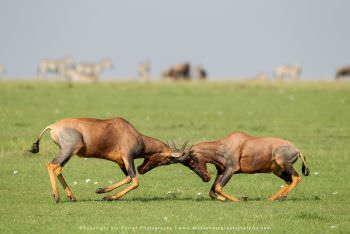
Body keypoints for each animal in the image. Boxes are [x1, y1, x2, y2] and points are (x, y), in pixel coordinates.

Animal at [29, 117, 186, 203]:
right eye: (166, 160)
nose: (142, 169)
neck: (129, 131)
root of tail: (53, 126)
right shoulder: (128, 157)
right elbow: (134, 181)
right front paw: (107, 197)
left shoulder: (121, 162)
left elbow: (128, 178)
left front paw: (101, 191)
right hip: (68, 150)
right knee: (52, 166)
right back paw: (57, 197)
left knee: (58, 168)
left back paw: (72, 197)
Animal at [138, 132, 310, 201]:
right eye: (188, 165)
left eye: (192, 161)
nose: (206, 177)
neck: (226, 145)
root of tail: (297, 150)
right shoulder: (221, 171)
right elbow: (212, 191)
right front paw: (230, 198)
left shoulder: (230, 170)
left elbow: (218, 188)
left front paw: (239, 199)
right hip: (277, 170)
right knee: (289, 181)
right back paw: (276, 197)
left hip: (283, 164)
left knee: (296, 178)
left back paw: (273, 198)